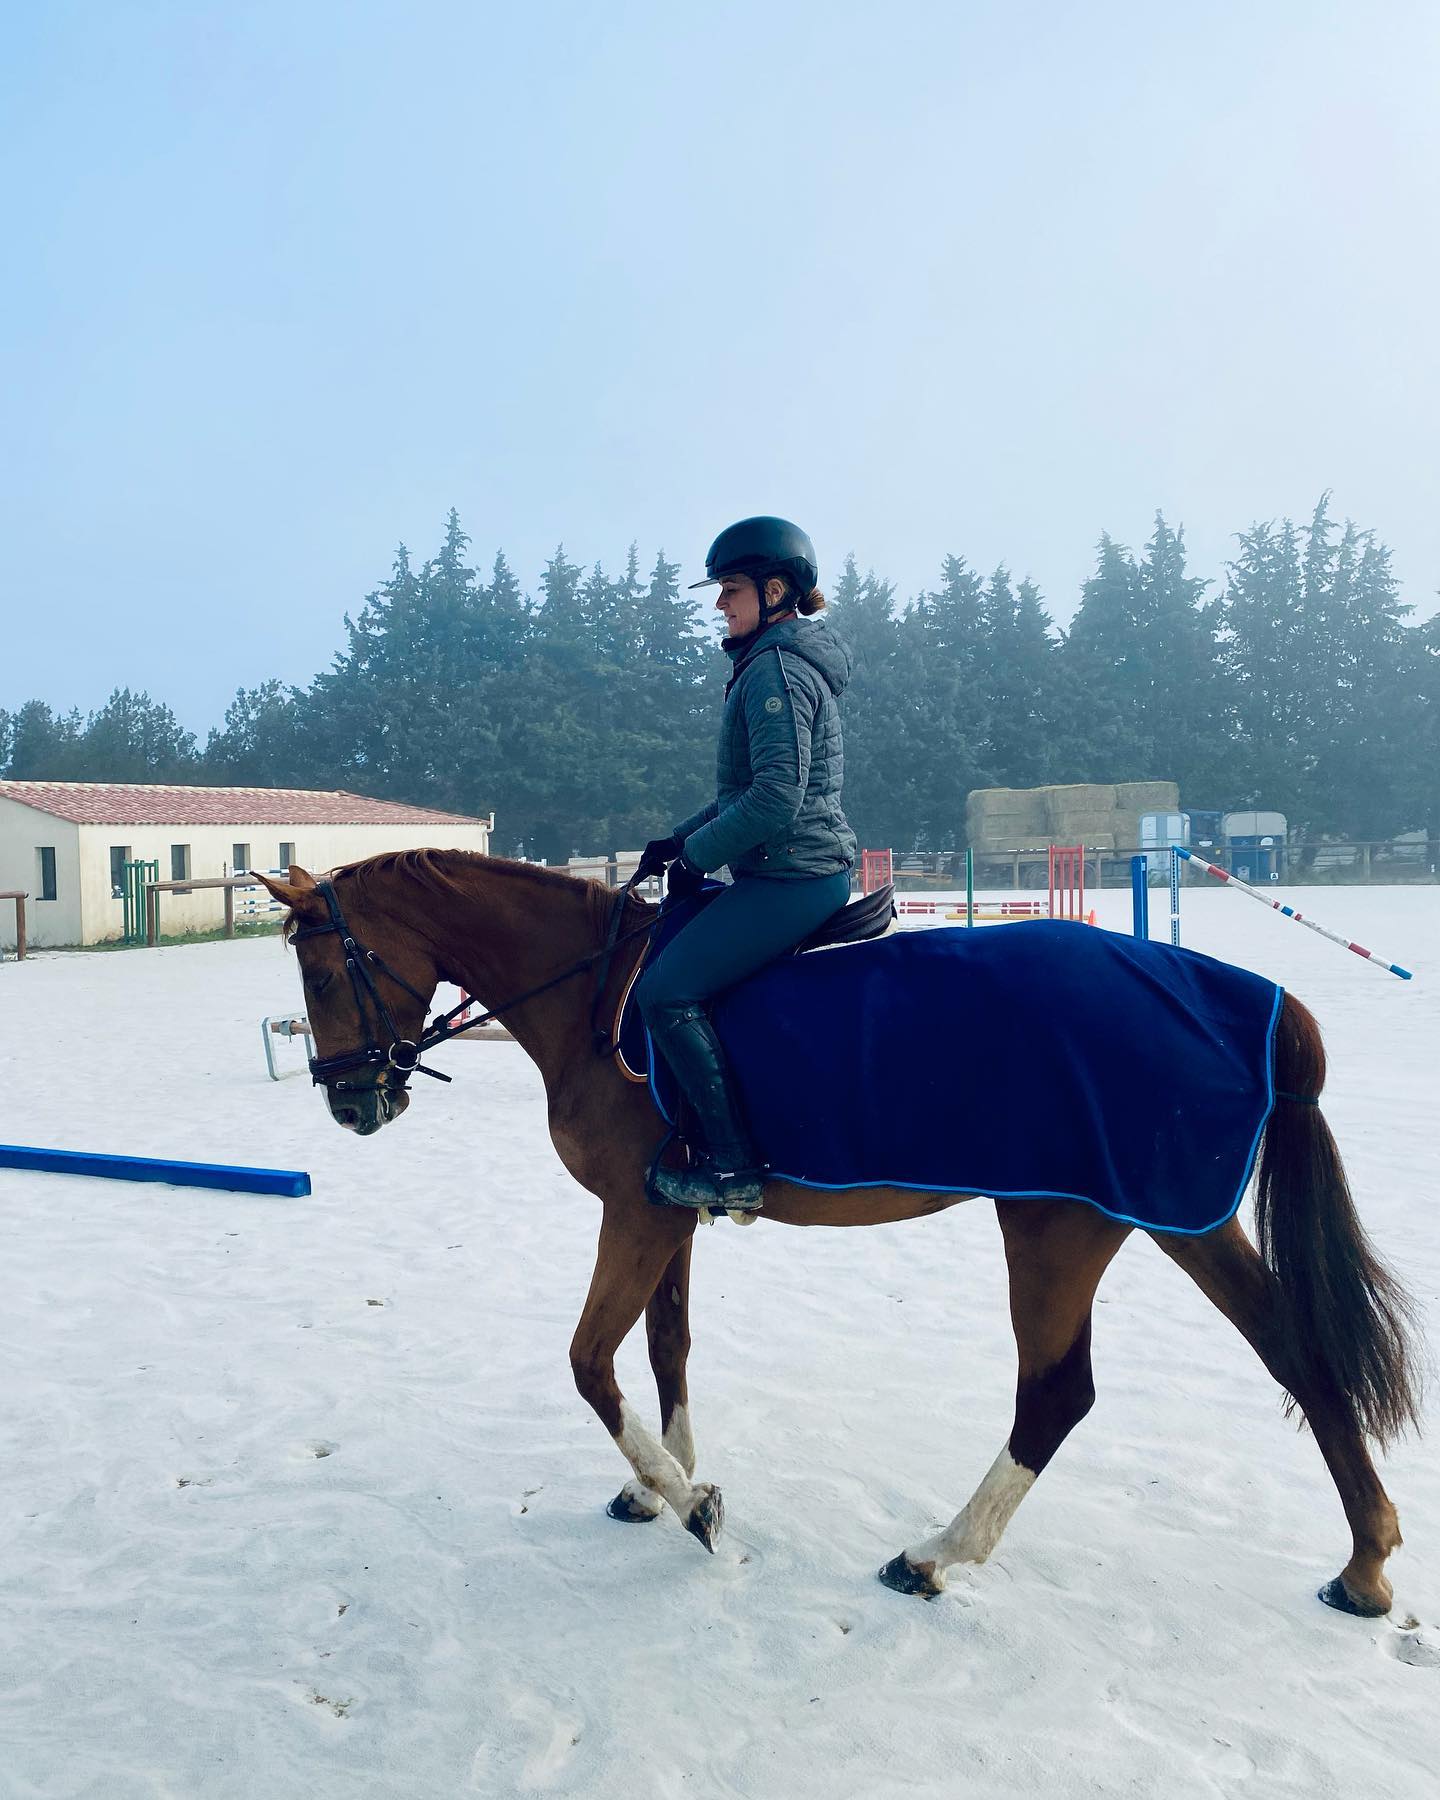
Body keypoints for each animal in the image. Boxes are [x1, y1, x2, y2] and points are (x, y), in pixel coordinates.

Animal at [253, 850, 1422, 1617]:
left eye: (324, 973)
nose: (349, 1105)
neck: (594, 994)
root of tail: (1237, 994)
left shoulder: (634, 1214)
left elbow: (591, 1362)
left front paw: (694, 1506)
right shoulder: (666, 1213)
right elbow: (666, 1346)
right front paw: (658, 1485)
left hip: (1054, 1227)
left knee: (1057, 1394)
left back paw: (937, 1554)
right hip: (1176, 1211)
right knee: (1296, 1350)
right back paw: (1365, 1565)